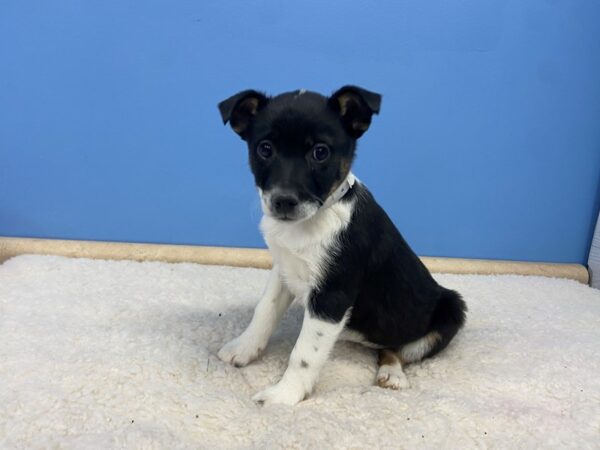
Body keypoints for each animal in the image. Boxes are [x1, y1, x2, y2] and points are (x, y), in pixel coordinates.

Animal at [218, 86, 466, 406]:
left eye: (320, 152)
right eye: (265, 149)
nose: (283, 201)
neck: (309, 222)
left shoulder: (332, 294)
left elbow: (304, 354)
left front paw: (284, 396)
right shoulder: (284, 269)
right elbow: (265, 310)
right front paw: (244, 348)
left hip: (451, 310)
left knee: (397, 349)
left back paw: (392, 373)